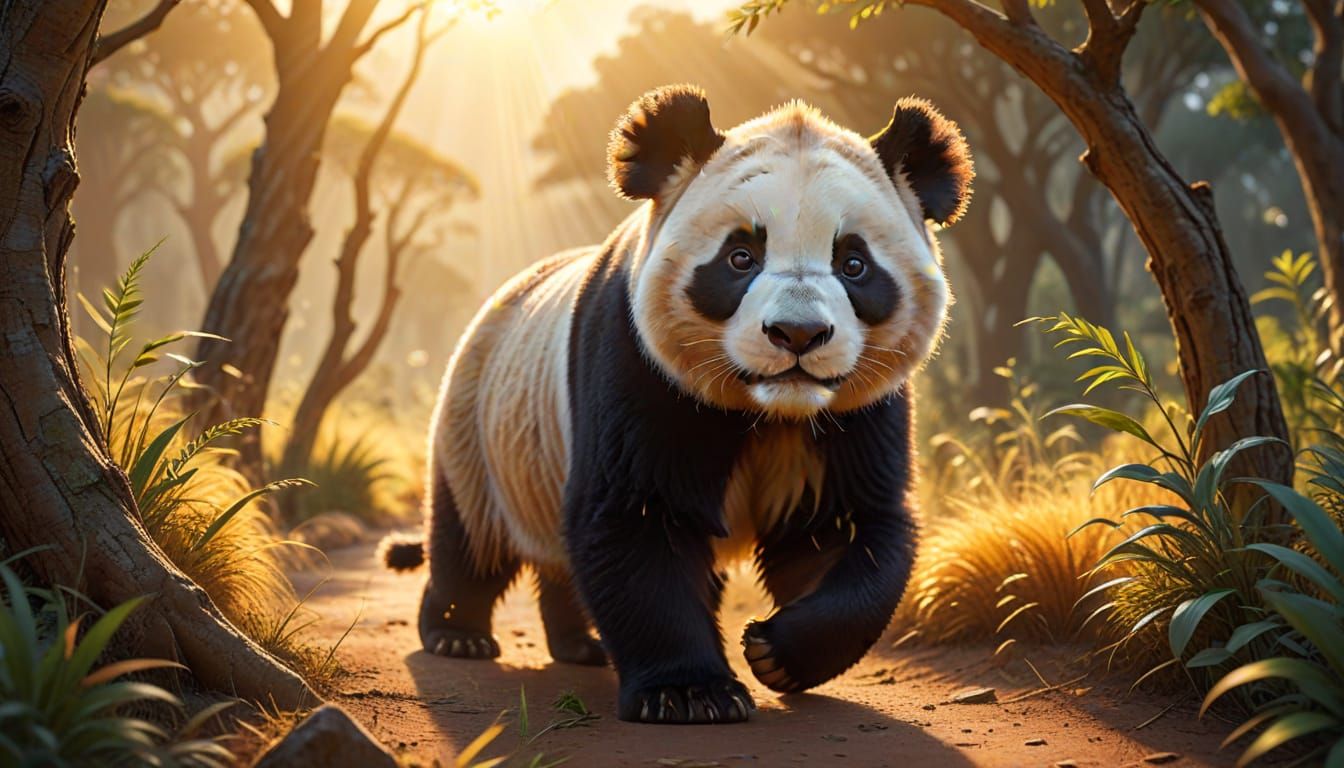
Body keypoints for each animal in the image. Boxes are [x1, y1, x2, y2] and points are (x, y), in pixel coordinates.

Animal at [382, 84, 972, 725]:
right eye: (740, 257)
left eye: (854, 263)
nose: (797, 334)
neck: (769, 408)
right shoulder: (638, 364)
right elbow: (636, 518)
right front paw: (691, 694)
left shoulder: (851, 413)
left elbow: (839, 528)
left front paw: (775, 652)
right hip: (479, 422)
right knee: (470, 535)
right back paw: (455, 633)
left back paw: (579, 645)